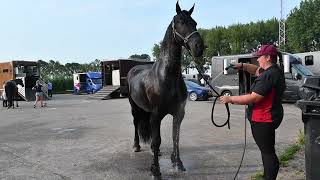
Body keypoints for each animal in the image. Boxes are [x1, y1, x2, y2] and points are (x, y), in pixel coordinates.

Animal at [127, 2, 204, 177]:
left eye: (195, 22)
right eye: (181, 21)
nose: (199, 47)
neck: (167, 77)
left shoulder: (178, 113)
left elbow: (176, 137)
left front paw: (178, 163)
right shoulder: (156, 115)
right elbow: (157, 140)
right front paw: (155, 170)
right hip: (135, 108)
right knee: (135, 124)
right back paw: (136, 146)